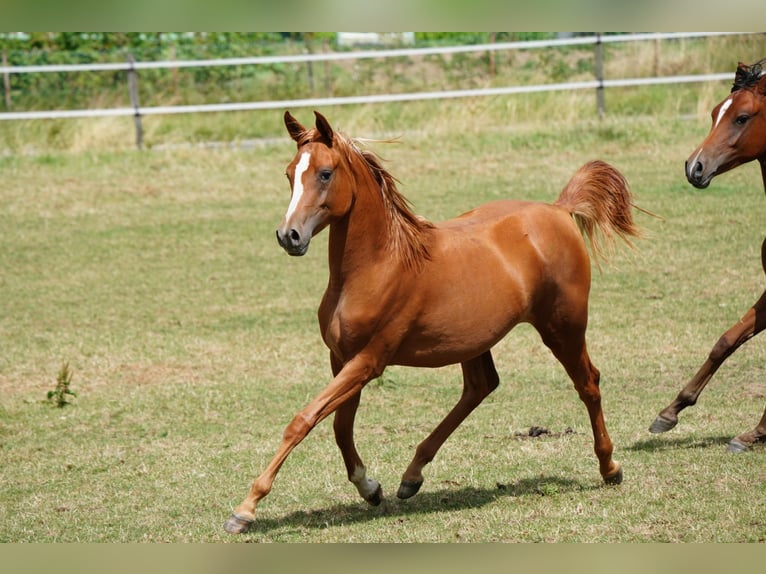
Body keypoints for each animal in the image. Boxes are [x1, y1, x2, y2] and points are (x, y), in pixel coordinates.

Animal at [225, 109, 640, 536]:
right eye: (290, 173)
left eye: (325, 173)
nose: (288, 236)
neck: (379, 265)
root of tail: (558, 210)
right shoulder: (341, 358)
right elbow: (340, 427)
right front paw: (370, 488)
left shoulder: (368, 361)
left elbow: (304, 419)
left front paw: (246, 508)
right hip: (474, 338)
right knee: (480, 386)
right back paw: (412, 476)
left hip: (563, 327)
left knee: (588, 383)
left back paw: (610, 467)